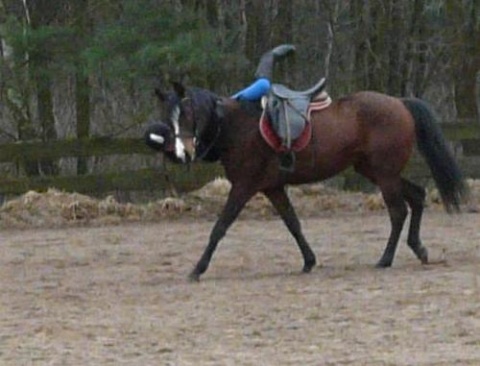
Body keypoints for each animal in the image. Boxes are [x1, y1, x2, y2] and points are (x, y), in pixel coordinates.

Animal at [148, 81, 466, 282]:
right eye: (168, 116)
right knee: (417, 195)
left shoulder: (244, 186)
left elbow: (220, 227)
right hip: (374, 170)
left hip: (384, 174)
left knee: (399, 211)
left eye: (188, 114)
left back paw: (386, 258)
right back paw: (418, 248)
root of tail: (399, 103)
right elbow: (293, 223)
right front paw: (309, 260)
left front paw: (198, 268)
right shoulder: (272, 187)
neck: (237, 127)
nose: (182, 152)